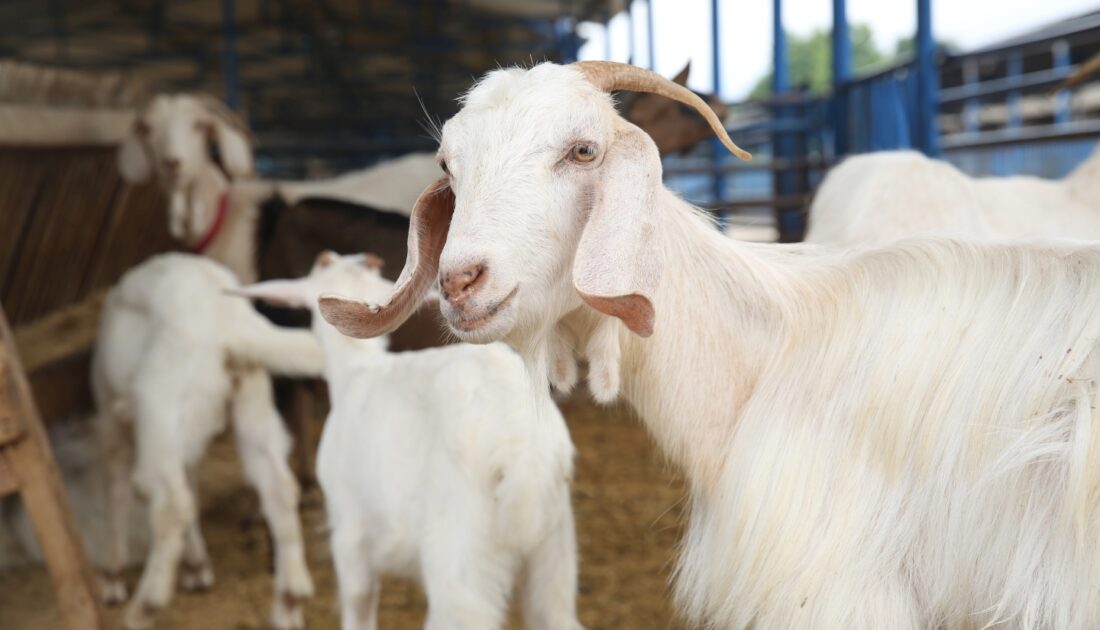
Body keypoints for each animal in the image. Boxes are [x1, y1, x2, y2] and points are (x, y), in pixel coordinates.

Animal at [93, 252, 321, 628]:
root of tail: (228, 322)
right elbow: (192, 481)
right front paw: (196, 566)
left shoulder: (111, 415)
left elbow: (117, 488)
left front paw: (112, 576)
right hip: (253, 400)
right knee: (279, 487)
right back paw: (289, 600)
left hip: (161, 410)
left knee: (172, 504)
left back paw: (144, 607)